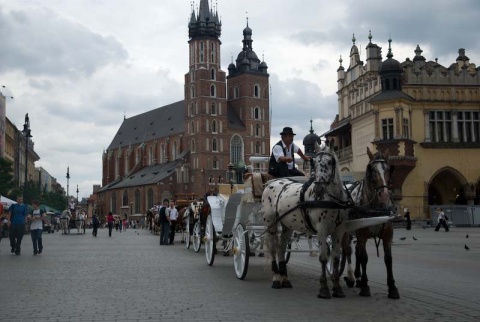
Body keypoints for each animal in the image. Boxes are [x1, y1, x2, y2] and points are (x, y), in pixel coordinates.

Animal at [262, 145, 348, 298]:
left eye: (330, 162)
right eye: (315, 163)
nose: (318, 189)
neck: (332, 200)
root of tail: (271, 183)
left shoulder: (339, 230)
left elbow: (335, 258)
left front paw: (337, 287)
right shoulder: (321, 230)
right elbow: (323, 258)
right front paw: (324, 288)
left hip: (287, 226)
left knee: (281, 248)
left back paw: (285, 279)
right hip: (270, 223)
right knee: (273, 249)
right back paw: (276, 279)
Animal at [344, 148, 400, 300]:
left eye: (388, 169)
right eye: (371, 169)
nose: (384, 195)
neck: (376, 208)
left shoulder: (388, 235)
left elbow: (388, 259)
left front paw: (392, 288)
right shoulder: (362, 235)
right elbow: (364, 258)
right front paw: (365, 286)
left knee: (356, 251)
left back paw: (357, 277)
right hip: (346, 232)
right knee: (347, 251)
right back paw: (350, 277)